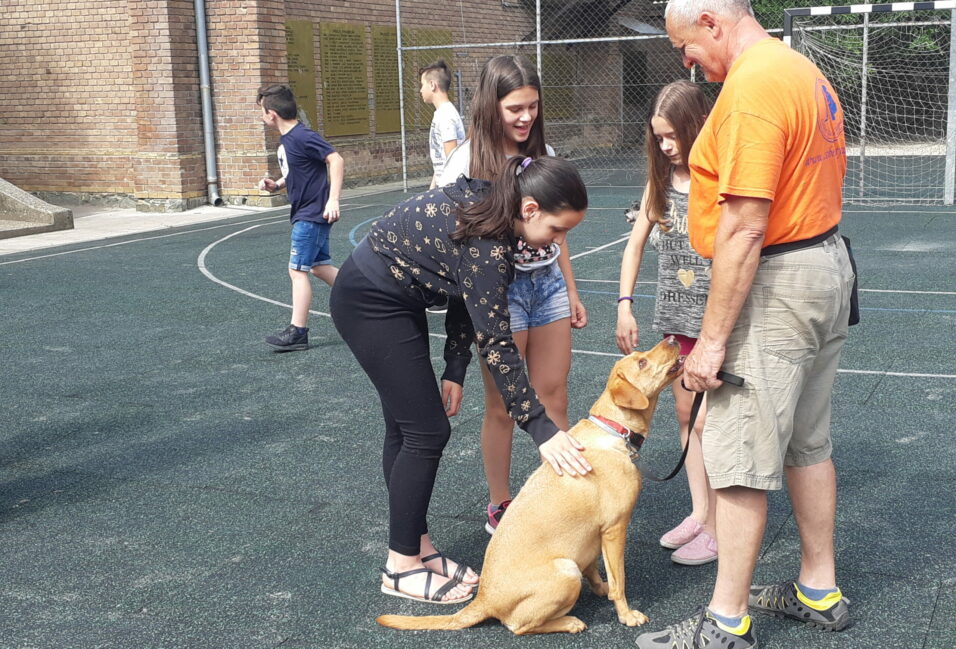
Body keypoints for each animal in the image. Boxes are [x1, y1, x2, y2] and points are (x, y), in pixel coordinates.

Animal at [378, 336, 684, 636]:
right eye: (642, 362)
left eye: (640, 354)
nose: (672, 339)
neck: (614, 431)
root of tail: (483, 598)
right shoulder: (614, 529)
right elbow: (619, 581)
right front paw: (626, 615)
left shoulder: (591, 539)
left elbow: (596, 572)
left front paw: (603, 591)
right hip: (565, 571)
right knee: (518, 626)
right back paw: (569, 622)